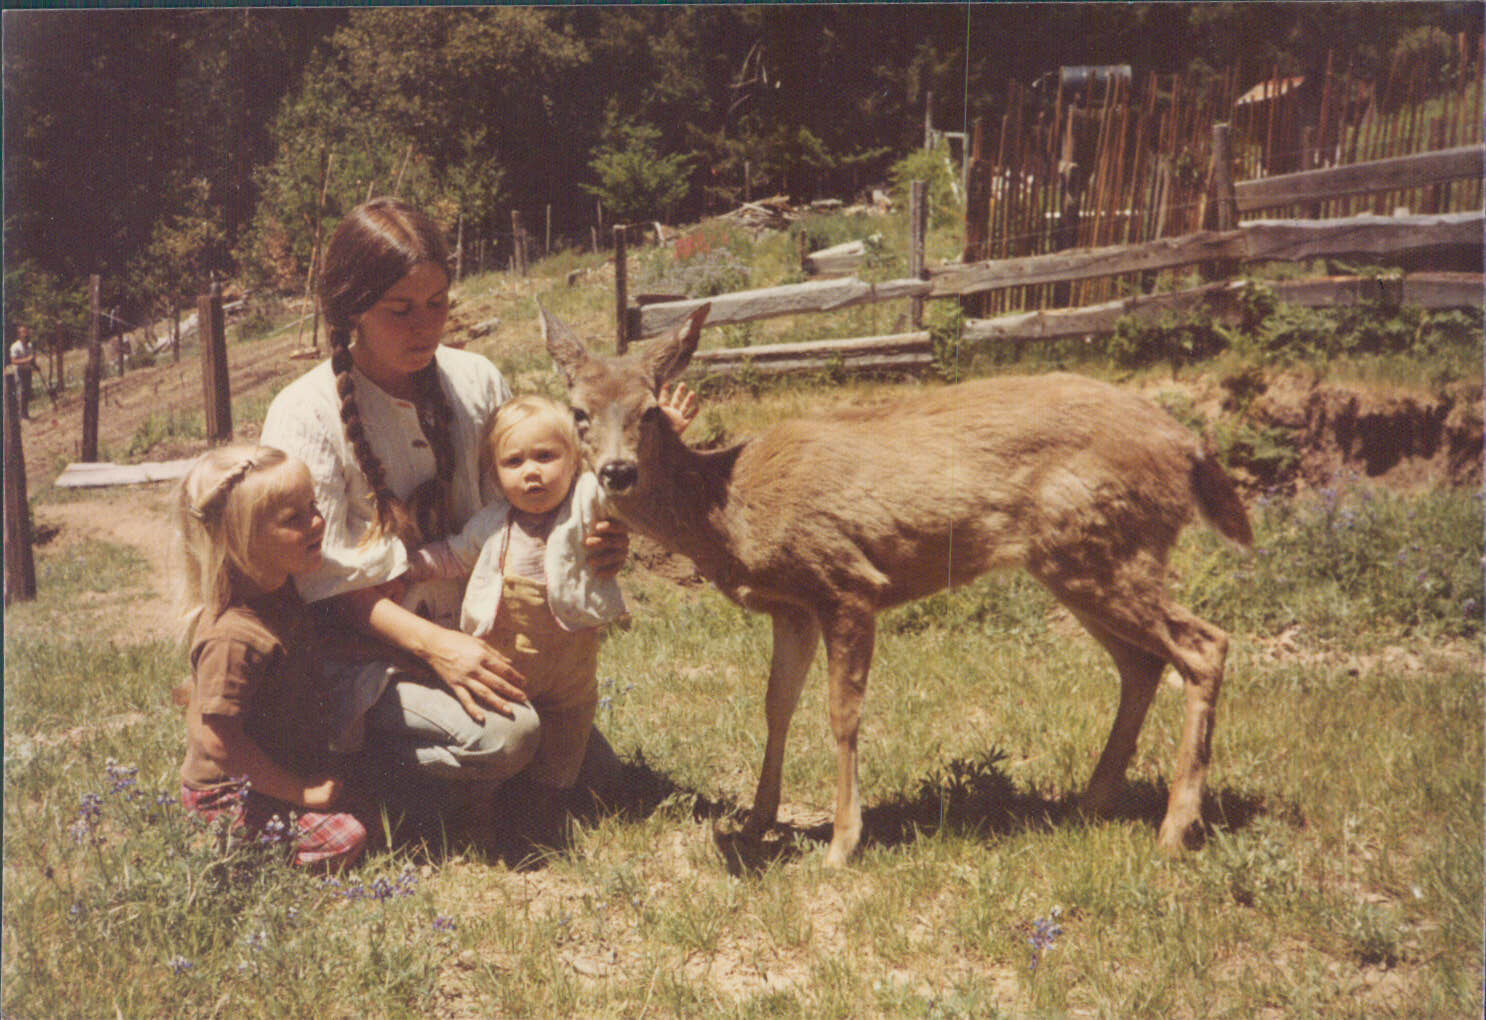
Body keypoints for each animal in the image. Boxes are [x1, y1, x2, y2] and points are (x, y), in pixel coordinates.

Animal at [540, 303, 1248, 868]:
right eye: (578, 412)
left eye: (650, 410)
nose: (618, 472)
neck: (730, 506)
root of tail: (1188, 444)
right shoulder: (790, 607)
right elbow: (776, 706)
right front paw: (754, 824)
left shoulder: (846, 581)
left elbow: (841, 713)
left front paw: (841, 843)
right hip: (1080, 562)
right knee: (1143, 662)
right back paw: (1092, 804)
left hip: (1102, 549)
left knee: (1205, 643)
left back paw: (1174, 829)